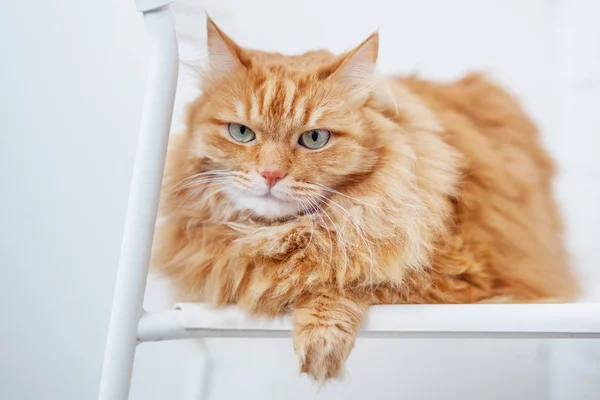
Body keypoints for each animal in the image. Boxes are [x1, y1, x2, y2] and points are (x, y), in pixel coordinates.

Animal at [152, 18, 580, 382]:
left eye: (314, 139)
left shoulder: (460, 277)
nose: (270, 175)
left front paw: (321, 339)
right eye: (241, 133)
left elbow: (352, 276)